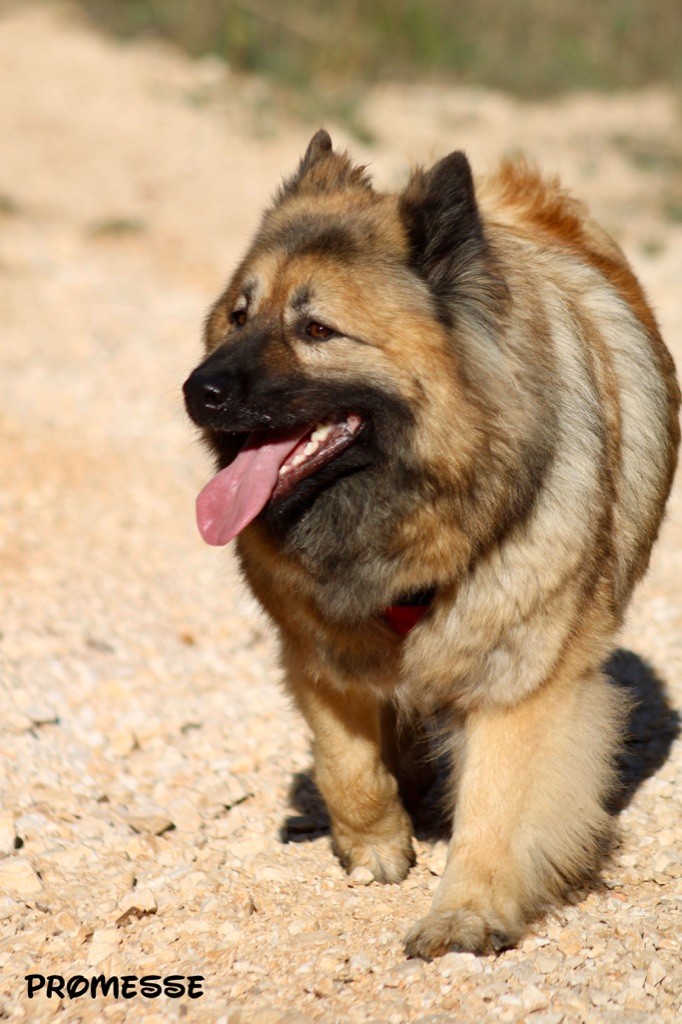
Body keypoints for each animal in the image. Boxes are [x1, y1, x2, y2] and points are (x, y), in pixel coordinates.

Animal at [183, 130, 675, 958]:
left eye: (316, 330)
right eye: (239, 315)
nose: (198, 390)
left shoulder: (524, 675)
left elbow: (499, 805)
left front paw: (466, 913)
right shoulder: (318, 649)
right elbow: (347, 765)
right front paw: (376, 844)